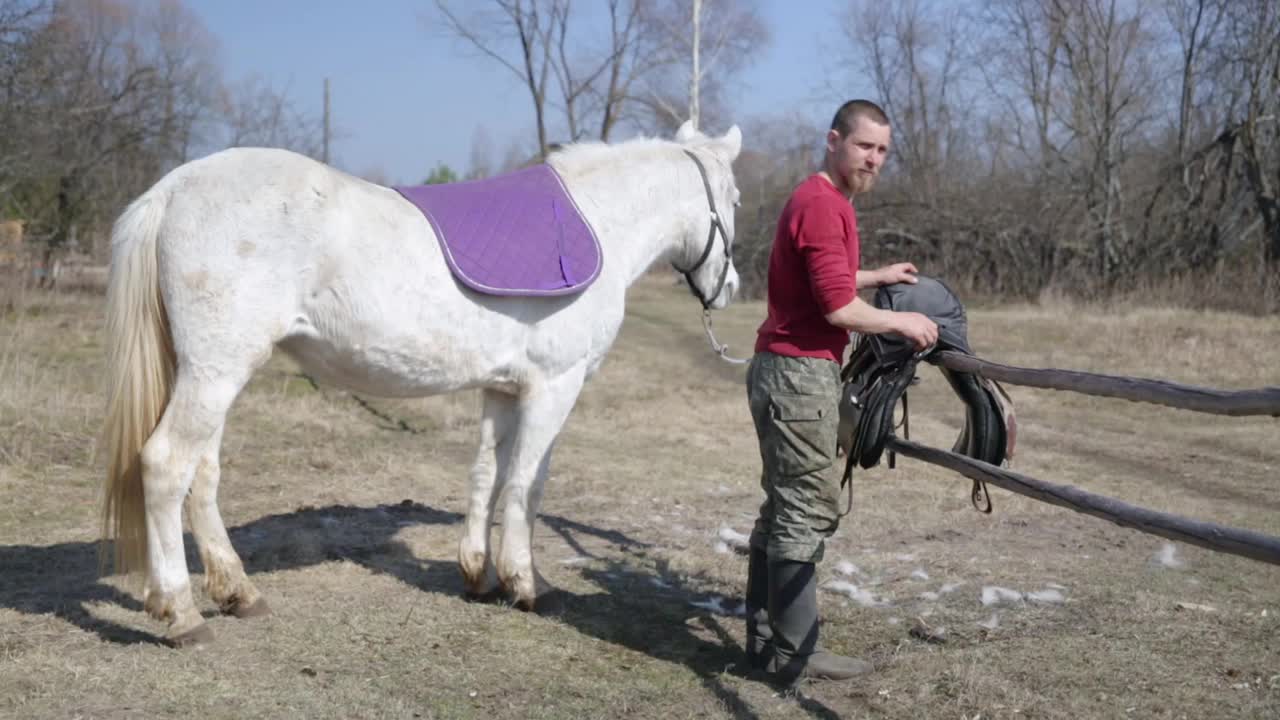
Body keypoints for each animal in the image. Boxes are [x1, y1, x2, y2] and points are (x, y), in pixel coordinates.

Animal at [104, 120, 747, 640]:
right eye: (736, 199)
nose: (732, 289)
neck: (597, 220)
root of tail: (173, 188)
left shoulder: (502, 389)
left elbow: (487, 475)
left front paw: (479, 575)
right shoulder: (553, 387)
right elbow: (527, 484)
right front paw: (527, 584)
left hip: (213, 373)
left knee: (202, 475)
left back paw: (238, 592)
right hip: (215, 372)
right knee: (166, 465)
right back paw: (180, 612)